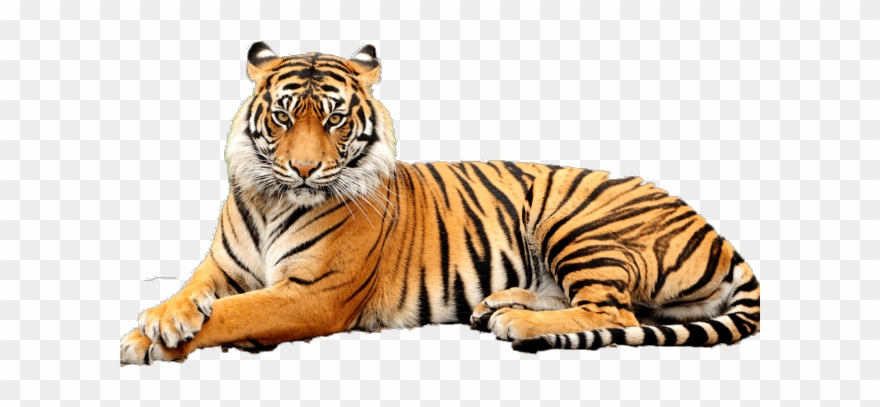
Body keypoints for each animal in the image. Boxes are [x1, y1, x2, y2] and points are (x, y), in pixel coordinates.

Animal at [120, 42, 760, 365]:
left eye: (333, 118)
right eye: (282, 116)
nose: (303, 169)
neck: (274, 198)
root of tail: (719, 235)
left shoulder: (312, 294)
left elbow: (235, 313)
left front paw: (151, 340)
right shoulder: (222, 267)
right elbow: (193, 292)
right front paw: (161, 319)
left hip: (578, 222)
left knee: (616, 313)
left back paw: (517, 321)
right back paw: (498, 305)